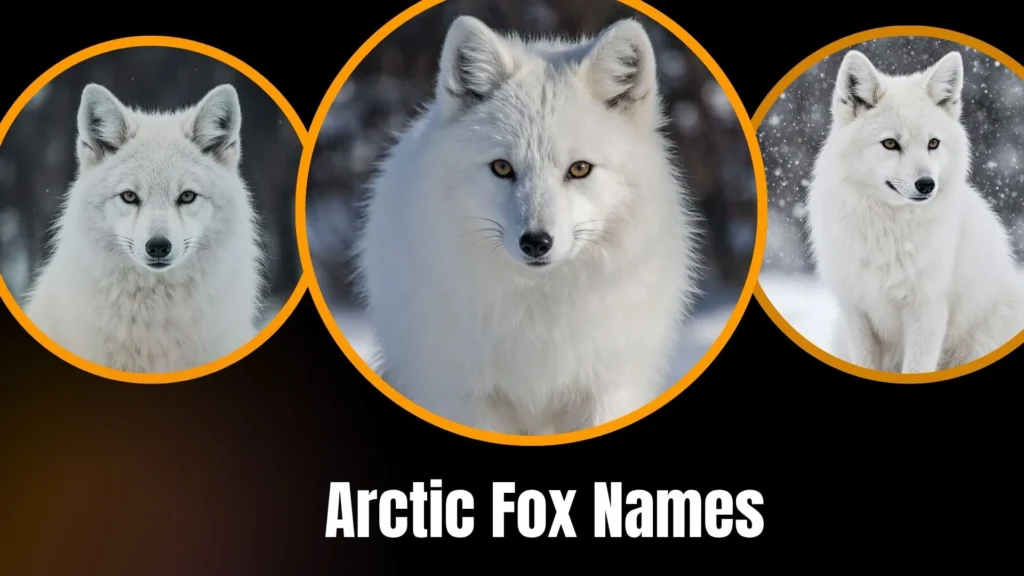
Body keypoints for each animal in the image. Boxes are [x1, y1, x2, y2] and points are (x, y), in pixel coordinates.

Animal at [354, 16, 702, 434]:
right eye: (502, 167)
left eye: (579, 169)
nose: (536, 242)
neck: (540, 306)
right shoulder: (466, 396)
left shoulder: (607, 388)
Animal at [806, 49, 1024, 374]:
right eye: (890, 143)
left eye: (933, 143)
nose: (926, 184)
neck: (888, 230)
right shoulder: (856, 312)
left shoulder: (927, 310)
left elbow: (917, 368)